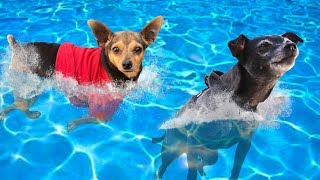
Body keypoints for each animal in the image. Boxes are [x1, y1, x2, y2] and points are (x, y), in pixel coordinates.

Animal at [0, 16, 164, 131]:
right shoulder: (101, 99)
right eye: (115, 49)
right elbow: (96, 118)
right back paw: (30, 114)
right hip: (27, 85)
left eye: (138, 49)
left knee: (16, 104)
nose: (127, 64)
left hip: (34, 90)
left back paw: (5, 112)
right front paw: (77, 122)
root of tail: (17, 47)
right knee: (20, 105)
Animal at [152, 32, 302, 179]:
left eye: (287, 40)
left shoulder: (245, 142)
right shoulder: (194, 139)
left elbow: (236, 167)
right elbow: (191, 172)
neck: (239, 103)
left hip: (212, 155)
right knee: (163, 166)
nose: (291, 45)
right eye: (264, 45)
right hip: (172, 150)